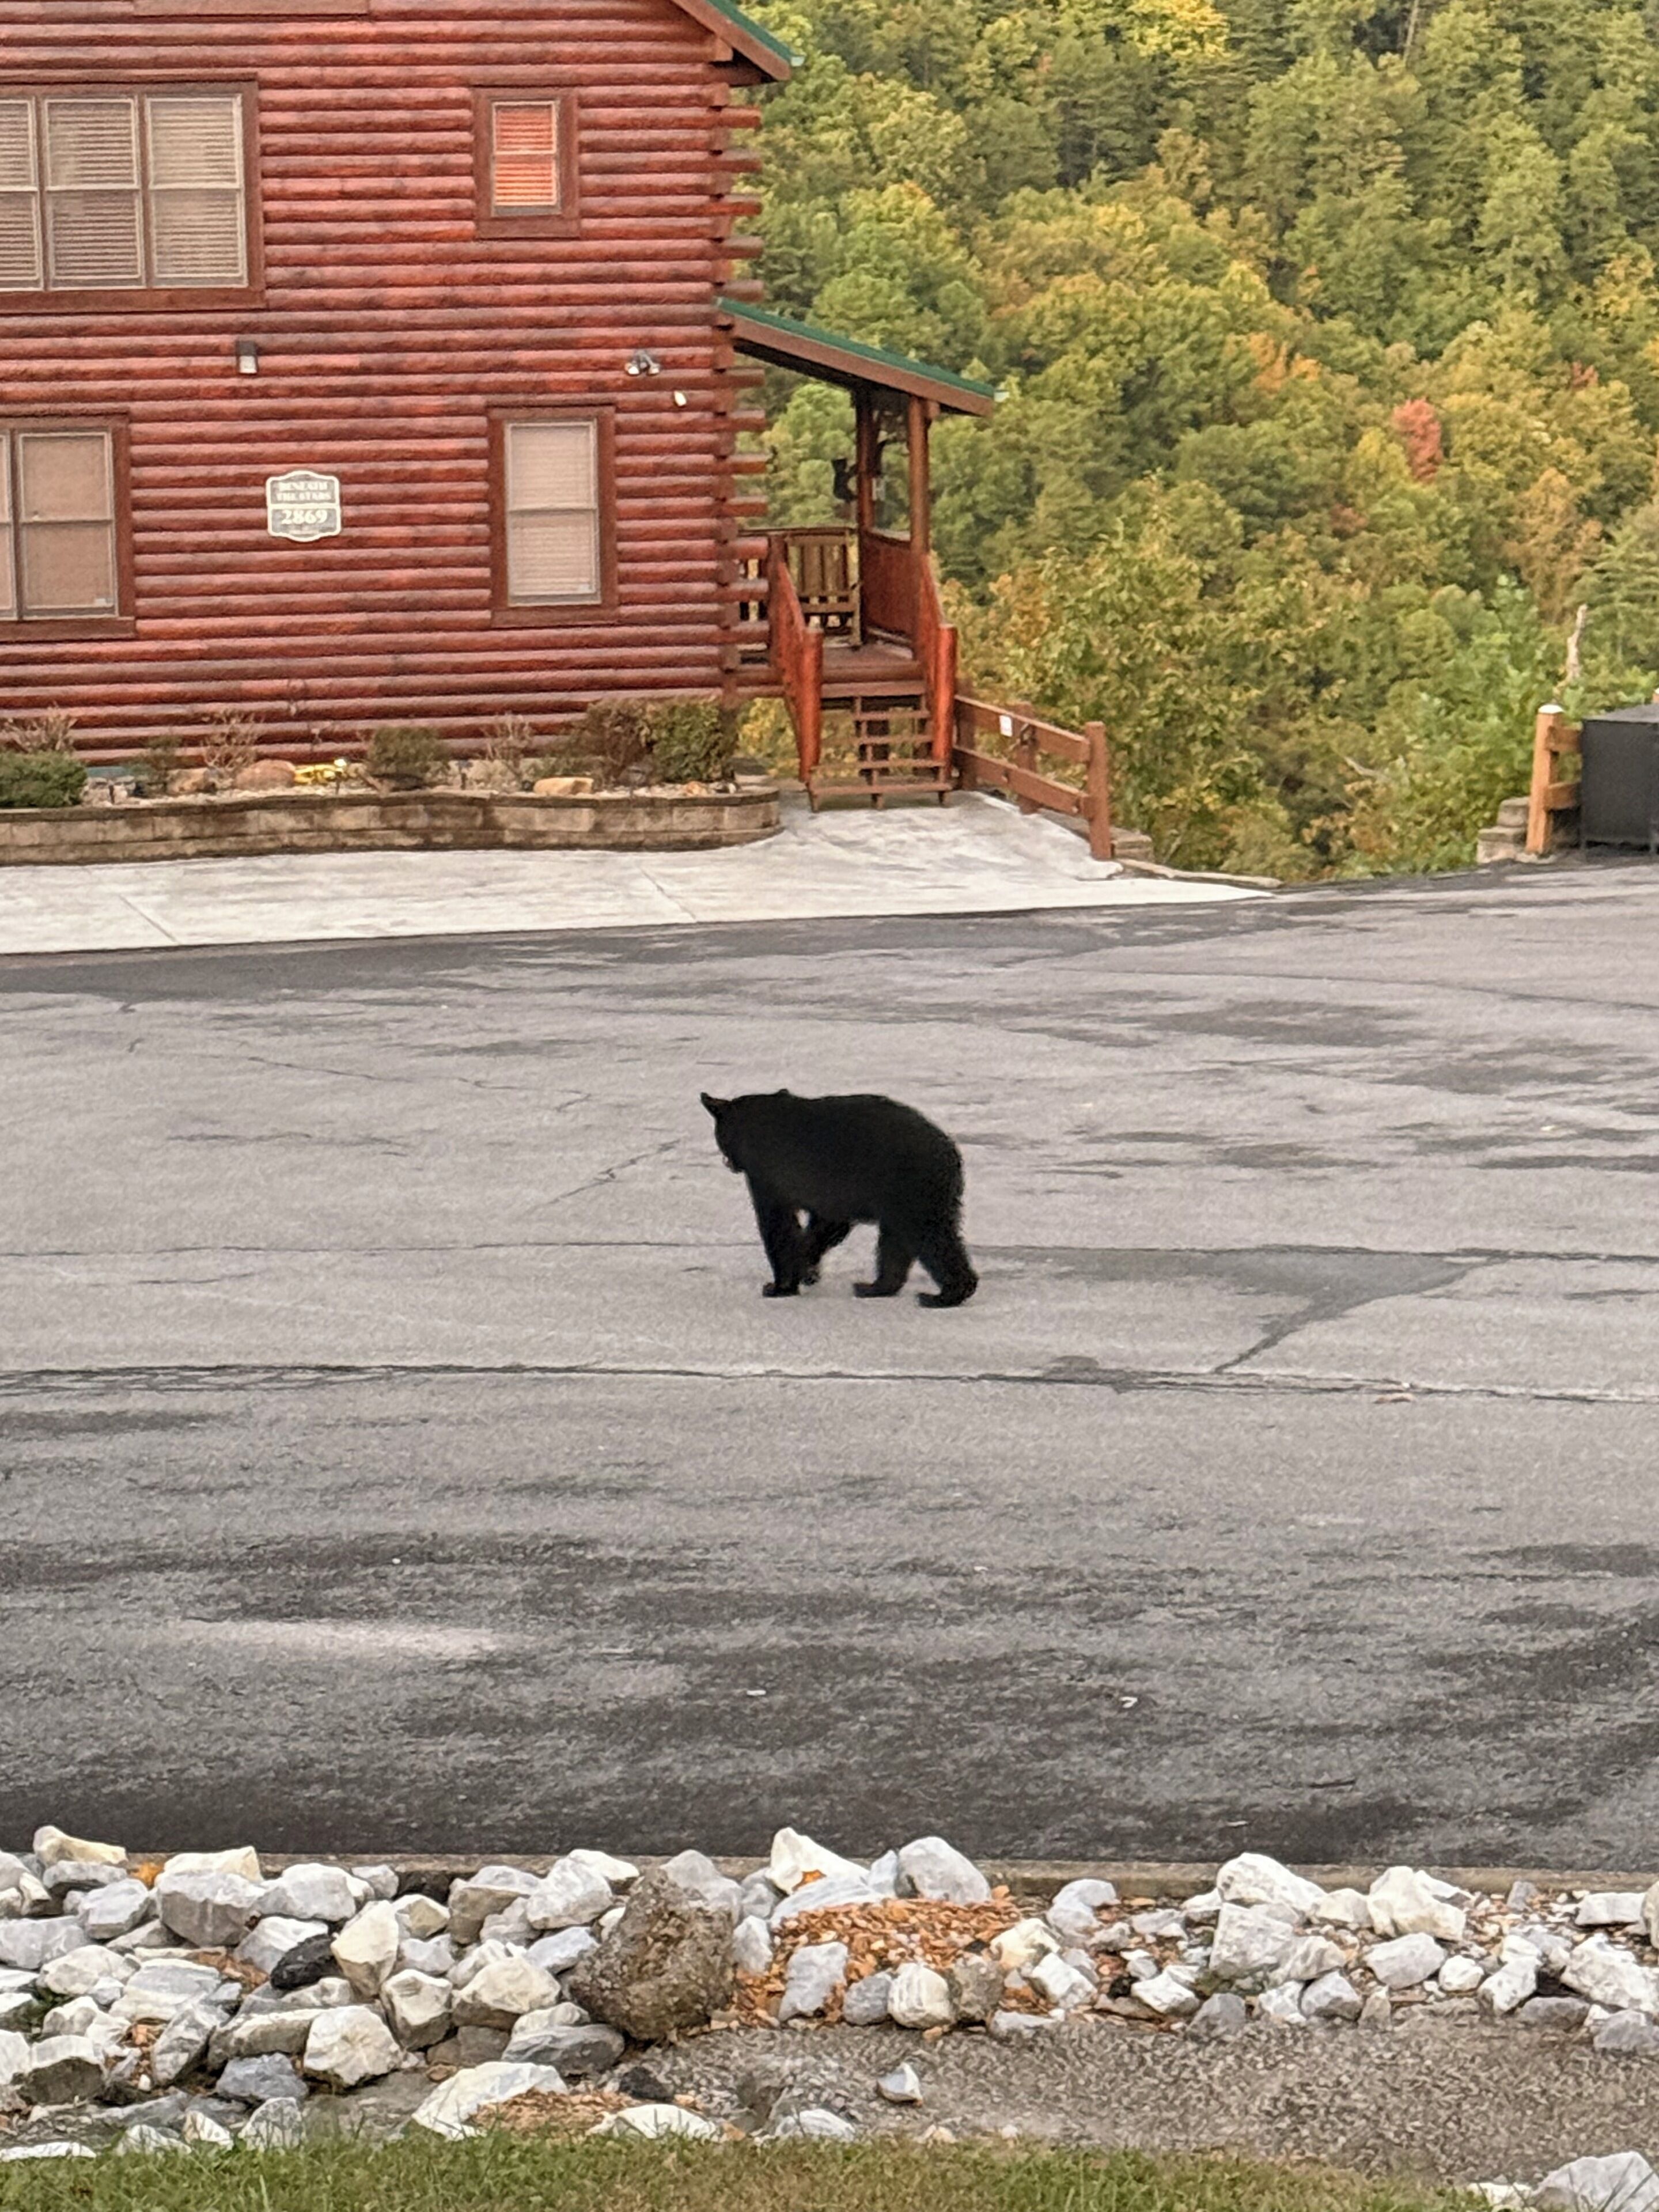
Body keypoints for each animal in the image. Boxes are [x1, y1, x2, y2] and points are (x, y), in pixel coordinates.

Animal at [700, 1088, 978, 1307]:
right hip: (904, 1197)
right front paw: (807, 1268)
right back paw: (875, 1287)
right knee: (896, 1242)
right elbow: (826, 1224)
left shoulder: (769, 1173)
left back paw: (946, 1295)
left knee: (930, 1237)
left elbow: (778, 1226)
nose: (730, 1164)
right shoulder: (831, 1191)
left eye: (719, 1136)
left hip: (908, 1187)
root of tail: (951, 1155)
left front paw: (781, 1285)